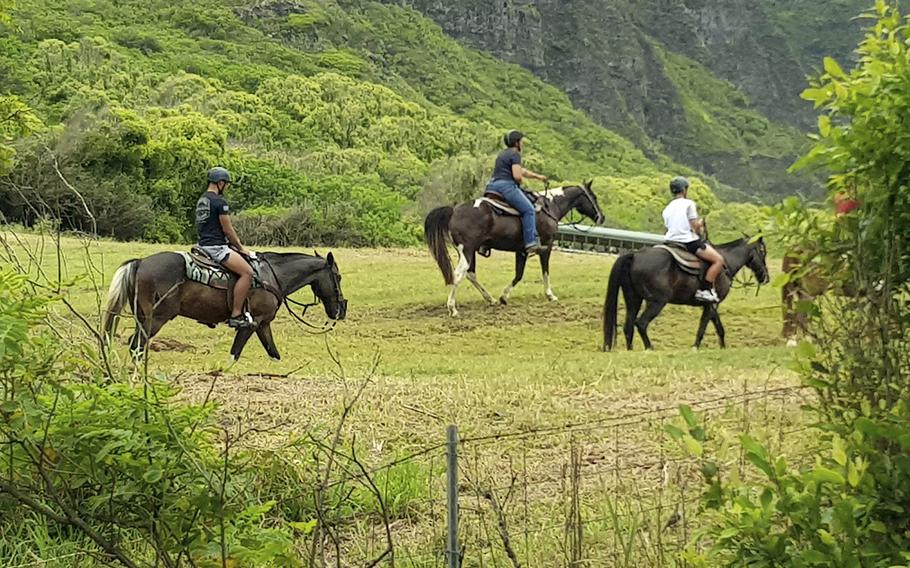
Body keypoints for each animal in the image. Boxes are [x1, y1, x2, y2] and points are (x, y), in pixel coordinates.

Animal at [101, 252, 348, 362]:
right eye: (338, 276)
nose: (341, 310)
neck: (271, 277)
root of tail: (140, 262)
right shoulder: (251, 324)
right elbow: (234, 354)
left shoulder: (263, 325)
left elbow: (273, 353)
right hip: (155, 319)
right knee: (136, 345)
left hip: (142, 318)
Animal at [426, 182, 604, 316]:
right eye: (594, 197)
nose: (602, 217)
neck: (550, 207)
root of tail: (454, 210)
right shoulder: (546, 246)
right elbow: (544, 271)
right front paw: (550, 295)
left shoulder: (521, 251)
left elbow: (518, 274)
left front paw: (503, 297)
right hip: (467, 250)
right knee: (459, 274)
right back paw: (452, 308)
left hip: (467, 252)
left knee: (470, 274)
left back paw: (490, 299)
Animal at [604, 236, 768, 350]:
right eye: (762, 251)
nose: (765, 277)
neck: (725, 263)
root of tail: (634, 255)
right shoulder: (711, 305)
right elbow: (703, 327)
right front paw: (695, 347)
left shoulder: (711, 304)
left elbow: (719, 327)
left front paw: (722, 347)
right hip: (657, 302)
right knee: (641, 323)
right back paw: (649, 348)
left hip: (633, 300)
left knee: (628, 326)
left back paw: (630, 349)